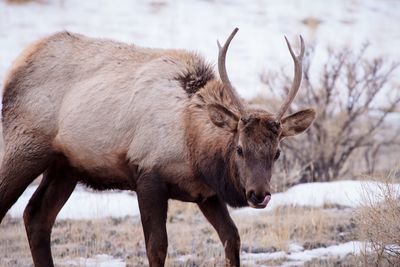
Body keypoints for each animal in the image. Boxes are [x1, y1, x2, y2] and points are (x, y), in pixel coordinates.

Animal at [0, 28, 316, 266]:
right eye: (239, 148)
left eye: (276, 153)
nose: (259, 195)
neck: (192, 144)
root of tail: (16, 67)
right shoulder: (148, 175)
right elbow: (157, 247)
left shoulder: (206, 194)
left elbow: (232, 238)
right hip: (23, 147)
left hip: (65, 167)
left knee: (37, 216)